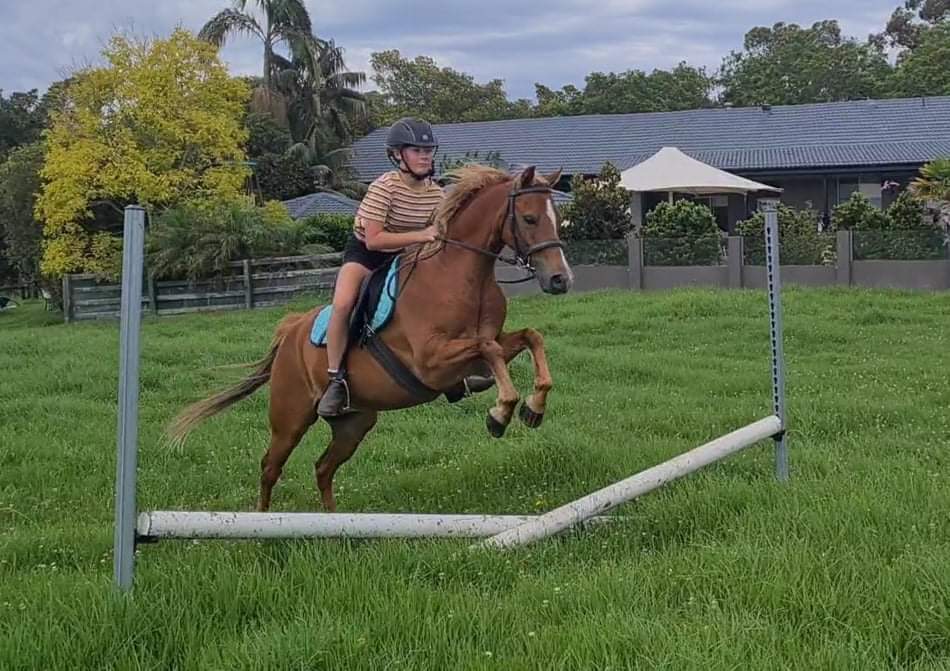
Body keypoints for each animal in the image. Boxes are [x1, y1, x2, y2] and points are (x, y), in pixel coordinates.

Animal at [168, 164, 575, 512]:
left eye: (558, 219)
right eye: (529, 218)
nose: (559, 280)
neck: (460, 275)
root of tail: (291, 332)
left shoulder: (484, 346)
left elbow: (530, 338)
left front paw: (533, 409)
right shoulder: (431, 362)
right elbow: (489, 348)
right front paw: (500, 412)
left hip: (355, 423)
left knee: (323, 468)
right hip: (290, 419)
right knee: (270, 467)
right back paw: (262, 522)